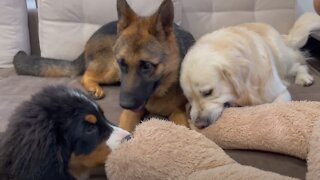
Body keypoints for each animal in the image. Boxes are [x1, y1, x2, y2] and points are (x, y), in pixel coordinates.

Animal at [13, 0, 195, 131]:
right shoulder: (130, 112)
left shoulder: (178, 111)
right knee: (86, 74)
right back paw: (93, 87)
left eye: (146, 66)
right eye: (122, 63)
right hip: (111, 70)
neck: (159, 90)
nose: (124, 105)